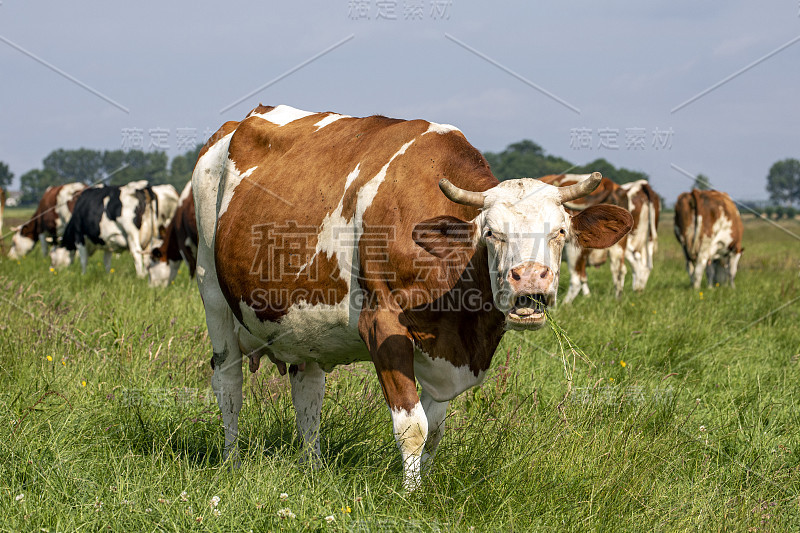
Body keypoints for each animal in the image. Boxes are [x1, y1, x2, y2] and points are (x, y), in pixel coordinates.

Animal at [192, 105, 632, 490]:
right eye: (491, 232)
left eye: (560, 231)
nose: (529, 278)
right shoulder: (383, 325)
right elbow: (413, 426)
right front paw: (411, 494)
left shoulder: (447, 352)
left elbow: (435, 428)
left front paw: (427, 485)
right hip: (212, 293)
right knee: (228, 383)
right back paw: (232, 462)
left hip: (302, 325)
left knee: (308, 393)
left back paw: (313, 468)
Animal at [540, 174, 660, 302]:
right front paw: (588, 296)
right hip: (620, 246)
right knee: (623, 269)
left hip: (574, 251)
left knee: (576, 279)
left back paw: (564, 304)